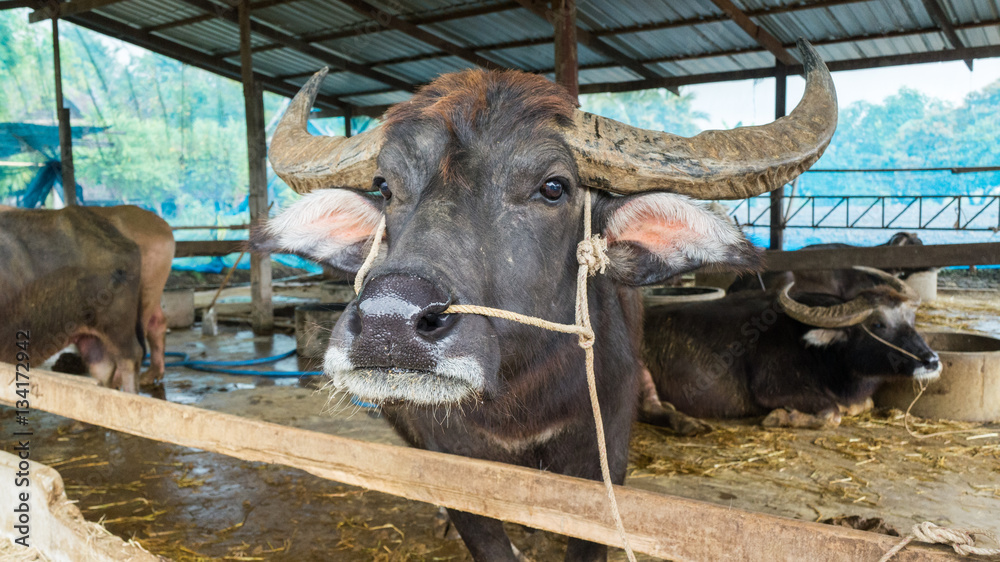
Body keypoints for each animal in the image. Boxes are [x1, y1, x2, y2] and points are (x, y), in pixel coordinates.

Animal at [256, 42, 836, 560]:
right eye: (384, 187)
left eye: (553, 187)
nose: (389, 321)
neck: (520, 400)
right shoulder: (455, 463)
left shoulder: (604, 461)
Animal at [644, 270, 940, 426]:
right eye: (878, 324)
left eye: (911, 319)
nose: (932, 361)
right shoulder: (773, 390)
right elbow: (832, 413)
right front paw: (779, 417)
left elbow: (863, 404)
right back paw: (686, 423)